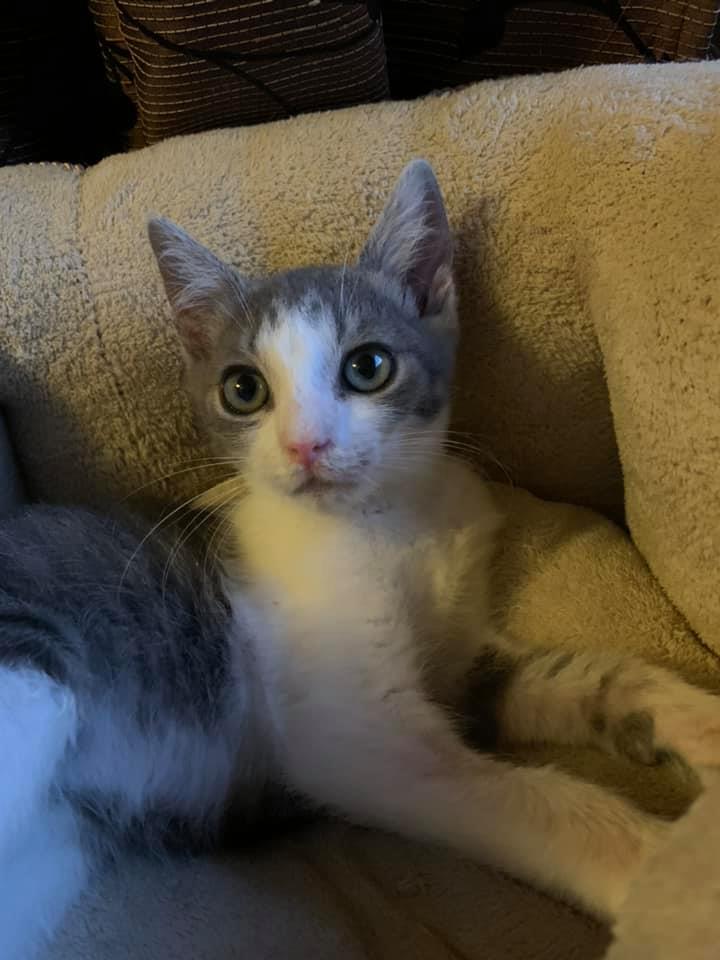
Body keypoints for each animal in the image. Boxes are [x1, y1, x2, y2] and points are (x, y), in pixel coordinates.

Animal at [2, 159, 720, 960]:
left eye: (368, 366)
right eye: (243, 388)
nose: (305, 445)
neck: (391, 521)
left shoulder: (459, 661)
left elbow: (591, 675)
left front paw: (697, 723)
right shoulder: (358, 735)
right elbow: (536, 799)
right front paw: (671, 879)